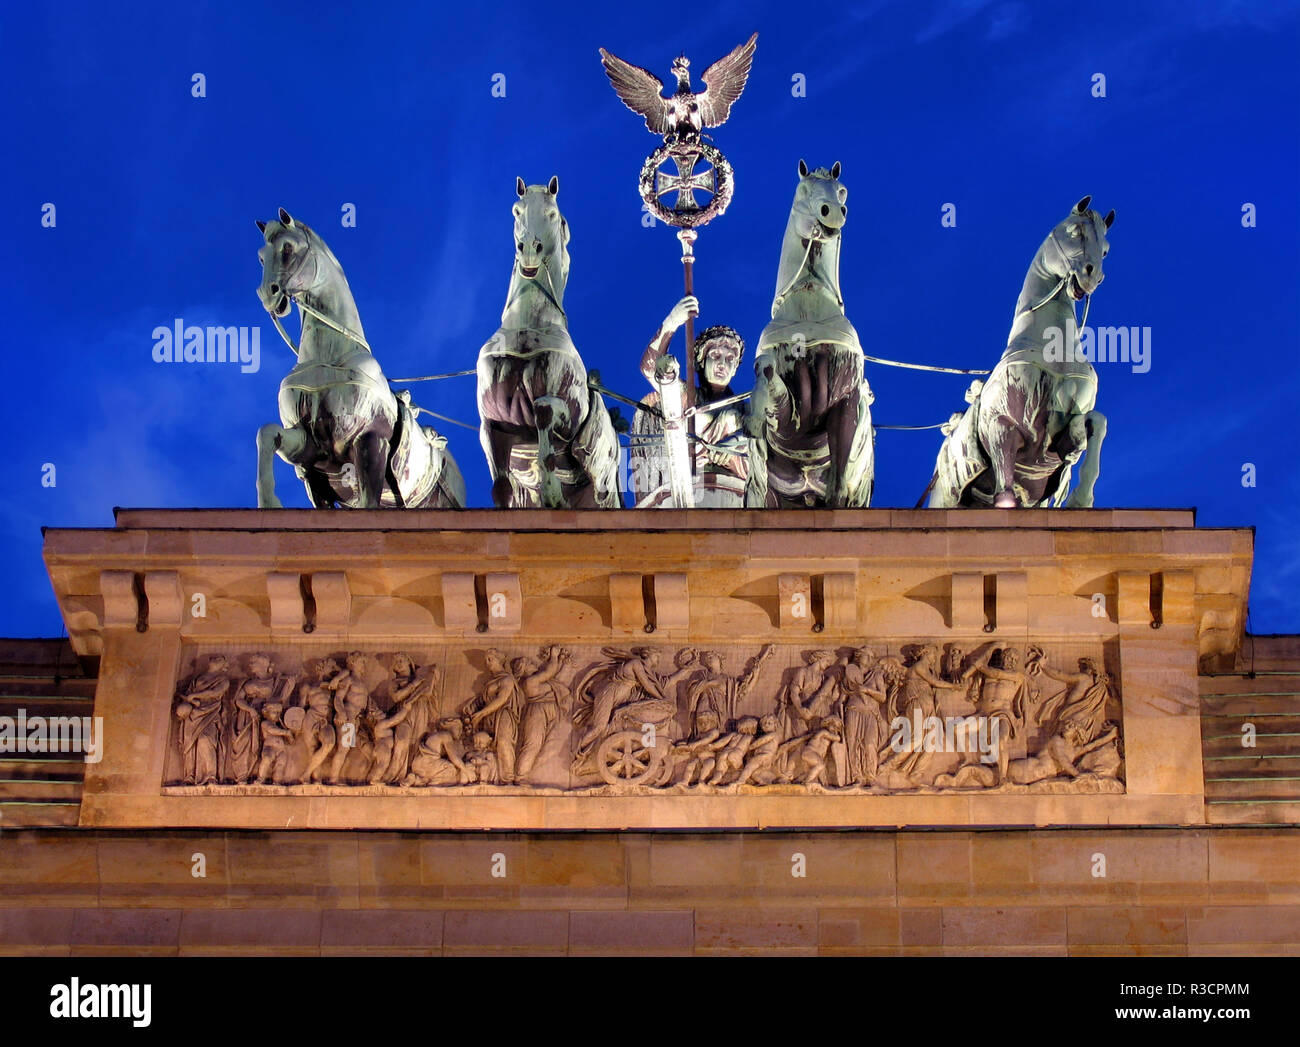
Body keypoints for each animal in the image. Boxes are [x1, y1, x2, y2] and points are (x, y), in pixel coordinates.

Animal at [252, 206, 462, 509]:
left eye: (288, 247)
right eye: (260, 255)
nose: (268, 295)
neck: (330, 356)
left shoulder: (369, 442)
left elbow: (367, 502)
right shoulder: (309, 448)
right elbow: (267, 433)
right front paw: (269, 501)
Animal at [478, 174, 618, 507]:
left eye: (553, 214)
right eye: (516, 210)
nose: (529, 249)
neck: (527, 328)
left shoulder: (566, 412)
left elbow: (543, 415)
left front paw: (552, 491)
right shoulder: (491, 423)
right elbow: (501, 488)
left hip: (603, 488)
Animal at [743, 159, 873, 507]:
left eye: (842, 191)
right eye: (803, 188)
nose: (833, 212)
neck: (809, 304)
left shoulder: (846, 397)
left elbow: (838, 486)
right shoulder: (788, 420)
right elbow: (765, 369)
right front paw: (754, 418)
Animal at [930, 197, 1112, 509]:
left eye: (1106, 248)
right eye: (1075, 231)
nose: (1093, 276)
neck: (1053, 348)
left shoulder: (1057, 441)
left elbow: (1096, 422)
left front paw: (1081, 497)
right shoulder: (1001, 427)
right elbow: (1005, 492)